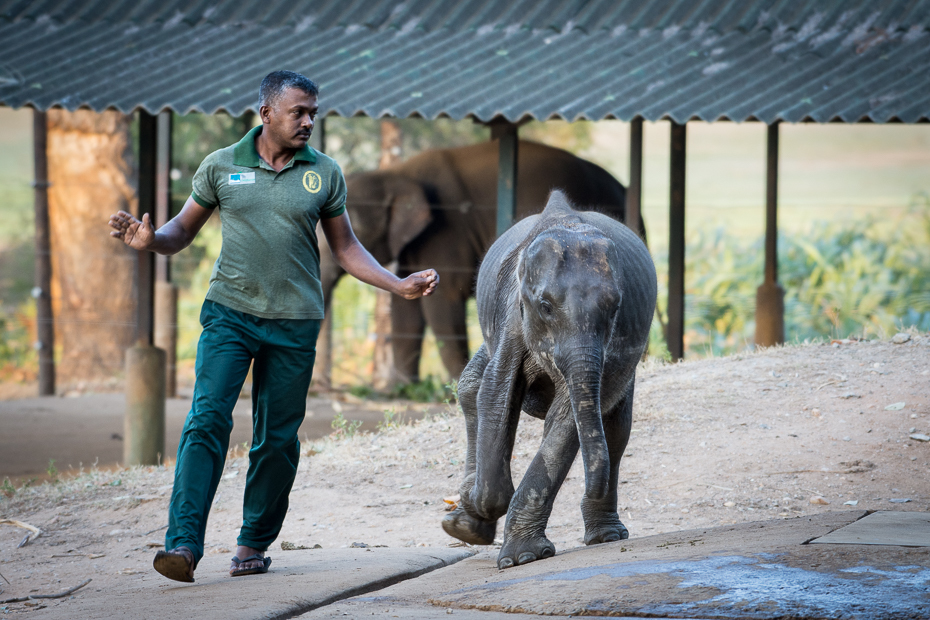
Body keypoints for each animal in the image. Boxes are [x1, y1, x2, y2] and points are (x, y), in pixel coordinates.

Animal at [316, 139, 640, 382]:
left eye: (351, 230)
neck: (395, 173)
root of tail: (624, 188)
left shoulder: (445, 230)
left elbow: (442, 302)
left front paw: (451, 383)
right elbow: (405, 308)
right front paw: (402, 389)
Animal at [440, 191, 652, 568]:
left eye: (614, 307)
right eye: (545, 306)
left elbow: (567, 418)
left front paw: (521, 559)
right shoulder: (512, 318)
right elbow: (495, 394)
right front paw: (475, 503)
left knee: (615, 430)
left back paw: (607, 537)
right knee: (470, 388)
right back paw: (464, 522)